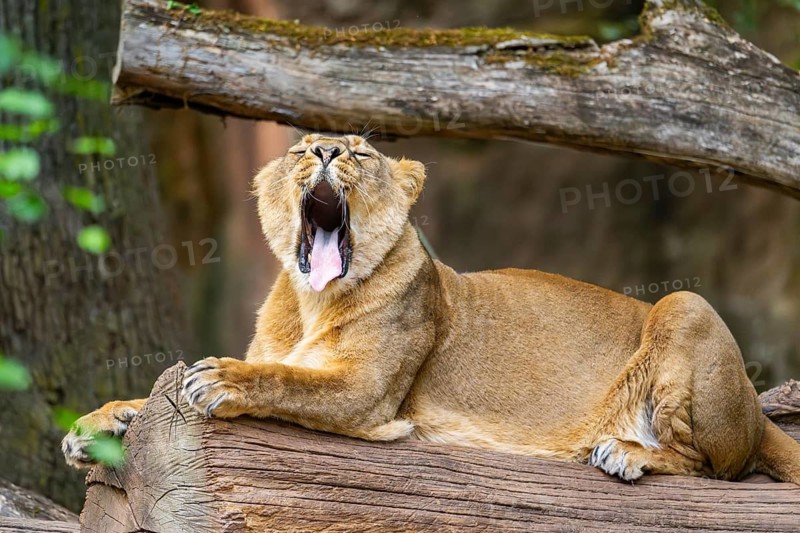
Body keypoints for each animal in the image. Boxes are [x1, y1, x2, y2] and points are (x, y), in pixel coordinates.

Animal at [63, 134, 800, 486]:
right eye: (301, 146)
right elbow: (155, 393)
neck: (309, 301)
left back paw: (624, 451)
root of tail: (754, 407)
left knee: (718, 466)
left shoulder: (366, 394)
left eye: (360, 150)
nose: (326, 151)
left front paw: (221, 378)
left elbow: (287, 379)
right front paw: (96, 423)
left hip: (686, 304)